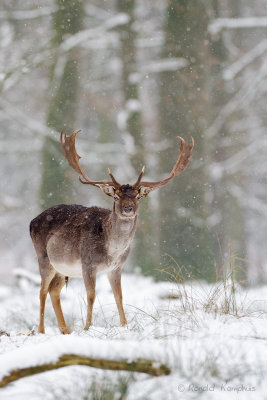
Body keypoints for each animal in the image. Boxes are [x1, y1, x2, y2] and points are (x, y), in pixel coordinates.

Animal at [30, 131, 195, 334]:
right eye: (116, 196)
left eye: (138, 196)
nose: (127, 209)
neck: (112, 251)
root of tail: (32, 221)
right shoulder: (88, 263)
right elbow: (91, 295)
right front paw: (87, 328)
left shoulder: (117, 267)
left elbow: (119, 296)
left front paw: (124, 325)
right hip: (44, 258)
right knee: (42, 291)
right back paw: (41, 330)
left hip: (62, 269)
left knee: (54, 291)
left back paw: (65, 330)